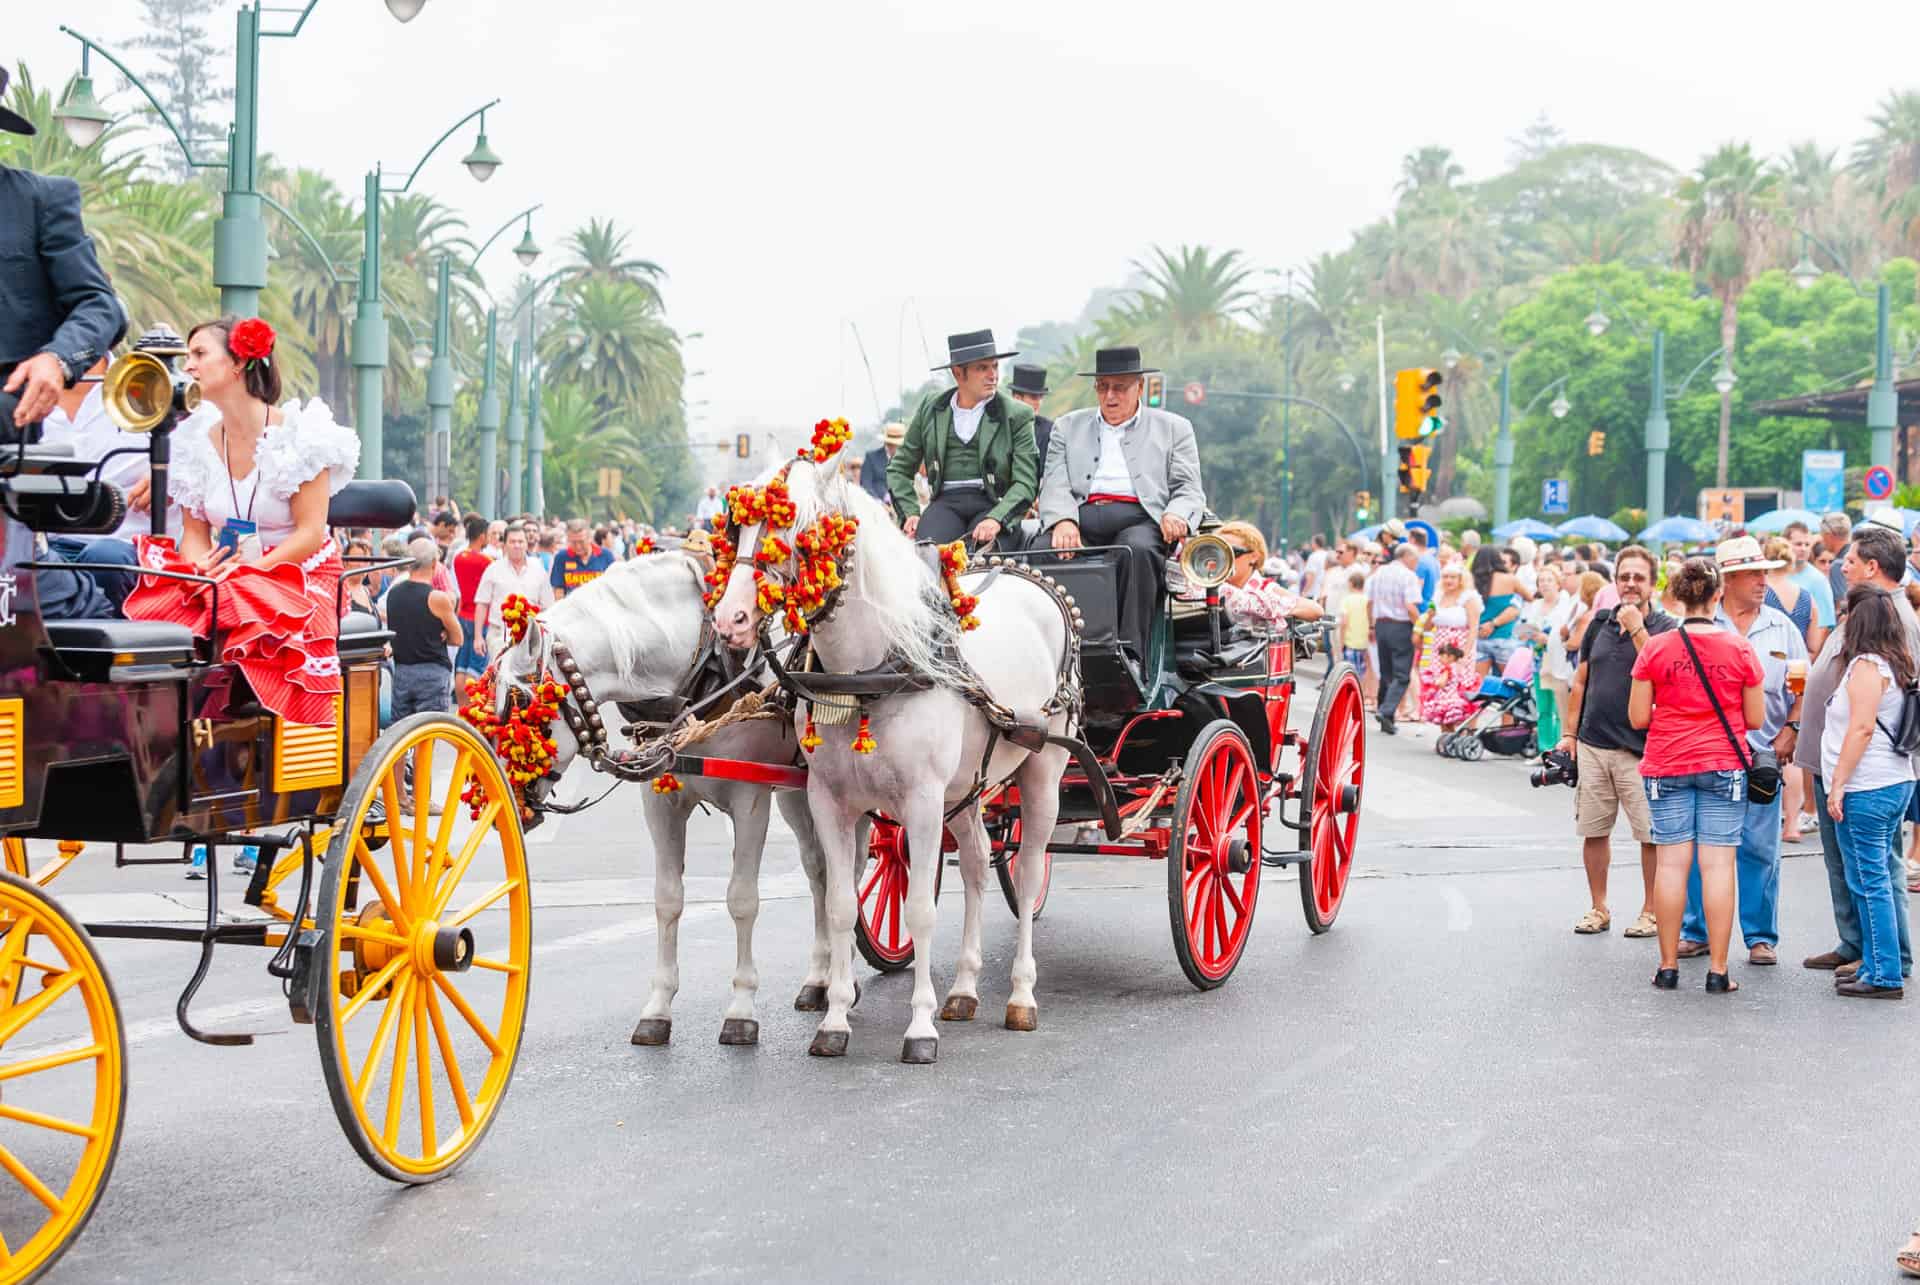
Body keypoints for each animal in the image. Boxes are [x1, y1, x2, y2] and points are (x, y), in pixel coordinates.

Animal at [491, 553, 829, 1044]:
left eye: (518, 701)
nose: (504, 800)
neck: (702, 674)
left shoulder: (750, 798)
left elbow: (742, 899)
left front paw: (742, 1007)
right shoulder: (661, 802)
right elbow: (667, 899)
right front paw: (658, 1007)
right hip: (795, 793)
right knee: (821, 871)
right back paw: (820, 980)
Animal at [710, 453, 1075, 1060]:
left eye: (797, 527)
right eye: (736, 527)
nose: (730, 619)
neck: (870, 671)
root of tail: (1030, 580)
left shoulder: (924, 803)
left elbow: (921, 911)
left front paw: (920, 1028)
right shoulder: (828, 800)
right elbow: (839, 903)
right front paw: (834, 1020)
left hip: (1043, 768)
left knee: (1025, 875)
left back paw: (1021, 995)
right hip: (967, 789)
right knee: (976, 863)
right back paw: (965, 989)